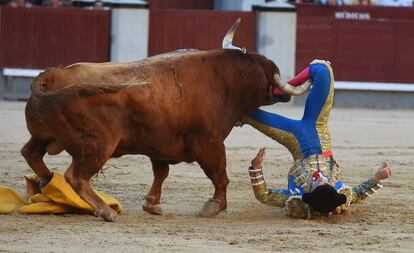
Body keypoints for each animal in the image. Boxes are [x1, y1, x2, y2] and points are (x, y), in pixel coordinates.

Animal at [21, 20, 300, 220]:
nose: (285, 94)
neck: (225, 81)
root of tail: (51, 76)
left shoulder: (160, 144)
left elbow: (161, 173)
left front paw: (152, 205)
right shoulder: (209, 142)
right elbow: (219, 174)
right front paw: (214, 206)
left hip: (43, 135)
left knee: (30, 153)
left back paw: (47, 181)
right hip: (98, 146)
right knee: (76, 176)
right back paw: (105, 211)